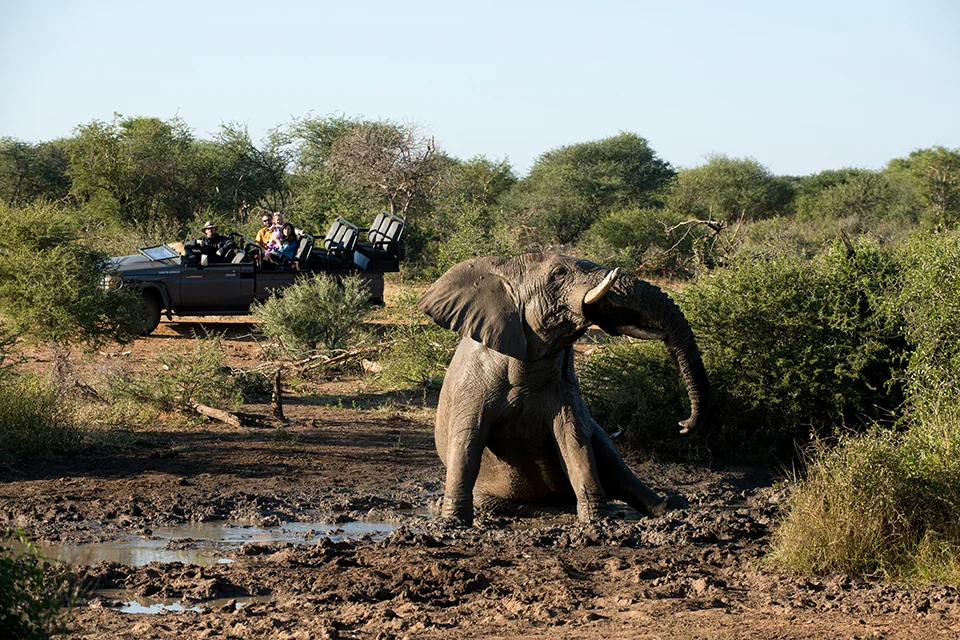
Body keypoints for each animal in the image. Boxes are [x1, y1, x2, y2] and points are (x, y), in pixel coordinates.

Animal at [417, 253, 709, 525]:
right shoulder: (473, 382)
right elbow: (467, 440)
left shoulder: (565, 385)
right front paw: (453, 522)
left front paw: (596, 520)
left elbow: (574, 439)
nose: (683, 425)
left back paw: (671, 507)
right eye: (559, 274)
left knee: (613, 463)